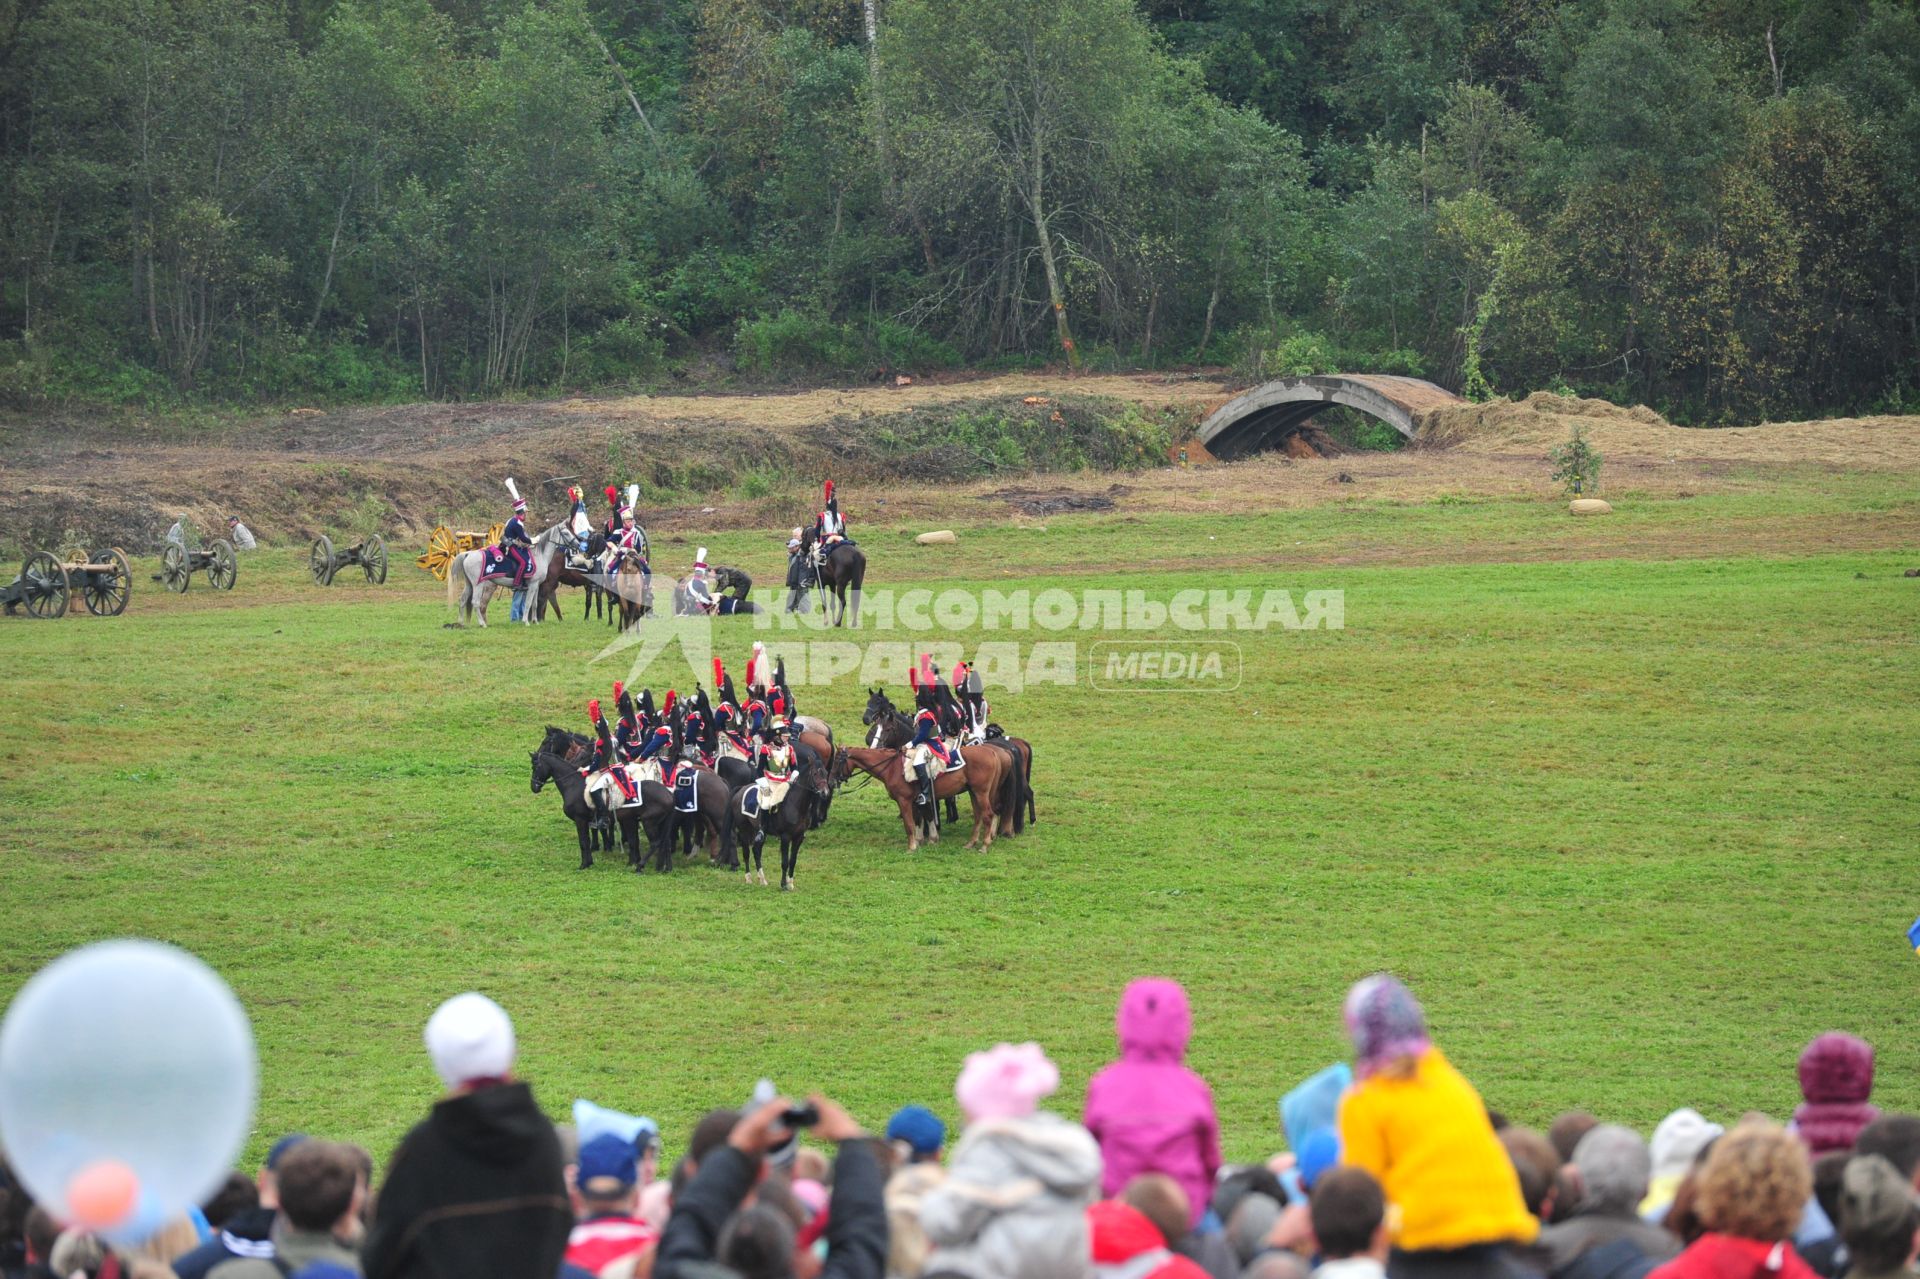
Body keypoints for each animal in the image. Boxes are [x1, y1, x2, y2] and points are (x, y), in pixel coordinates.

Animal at [837, 741, 1021, 852]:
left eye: (837, 761)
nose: (833, 780)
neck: (893, 767)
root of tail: (994, 752)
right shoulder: (915, 802)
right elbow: (920, 819)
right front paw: (923, 840)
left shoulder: (904, 801)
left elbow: (909, 824)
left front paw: (912, 846)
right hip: (974, 792)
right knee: (979, 816)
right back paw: (971, 843)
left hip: (981, 792)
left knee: (989, 814)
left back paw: (985, 845)